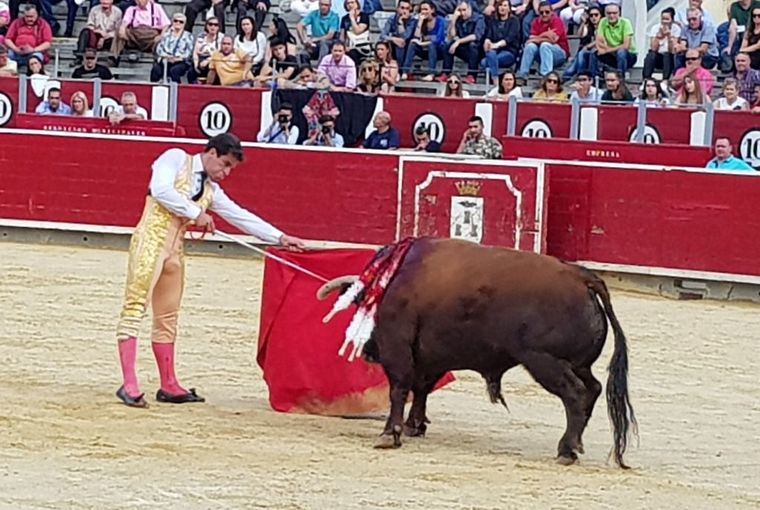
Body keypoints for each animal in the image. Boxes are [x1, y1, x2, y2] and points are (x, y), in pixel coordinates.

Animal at [318, 237, 640, 468]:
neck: (394, 280)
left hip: (545, 361)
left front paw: (390, 434)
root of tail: (582, 277)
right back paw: (576, 445)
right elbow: (421, 389)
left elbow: (399, 388)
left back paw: (566, 450)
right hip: (578, 364)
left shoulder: (398, 347)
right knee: (593, 389)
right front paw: (414, 426)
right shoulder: (430, 356)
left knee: (575, 394)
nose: (369, 352)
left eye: (358, 305)